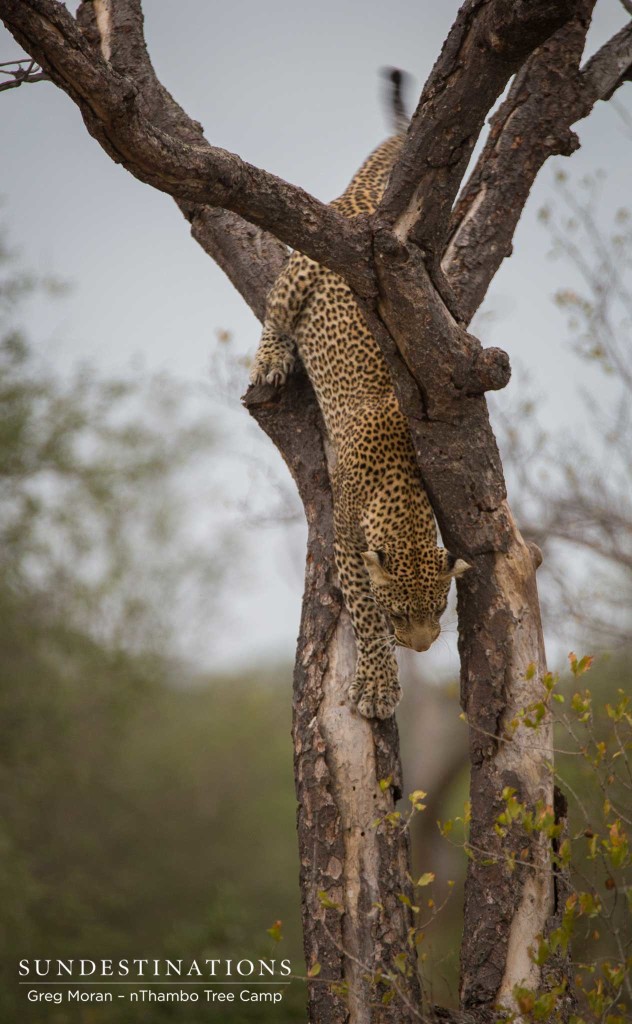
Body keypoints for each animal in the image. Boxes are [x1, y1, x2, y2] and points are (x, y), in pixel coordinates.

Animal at [247, 72, 469, 716]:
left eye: (439, 608)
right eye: (401, 610)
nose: (422, 647)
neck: (398, 484)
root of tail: (368, 201)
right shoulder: (345, 547)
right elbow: (365, 618)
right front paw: (379, 683)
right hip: (301, 267)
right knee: (274, 313)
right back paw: (271, 359)